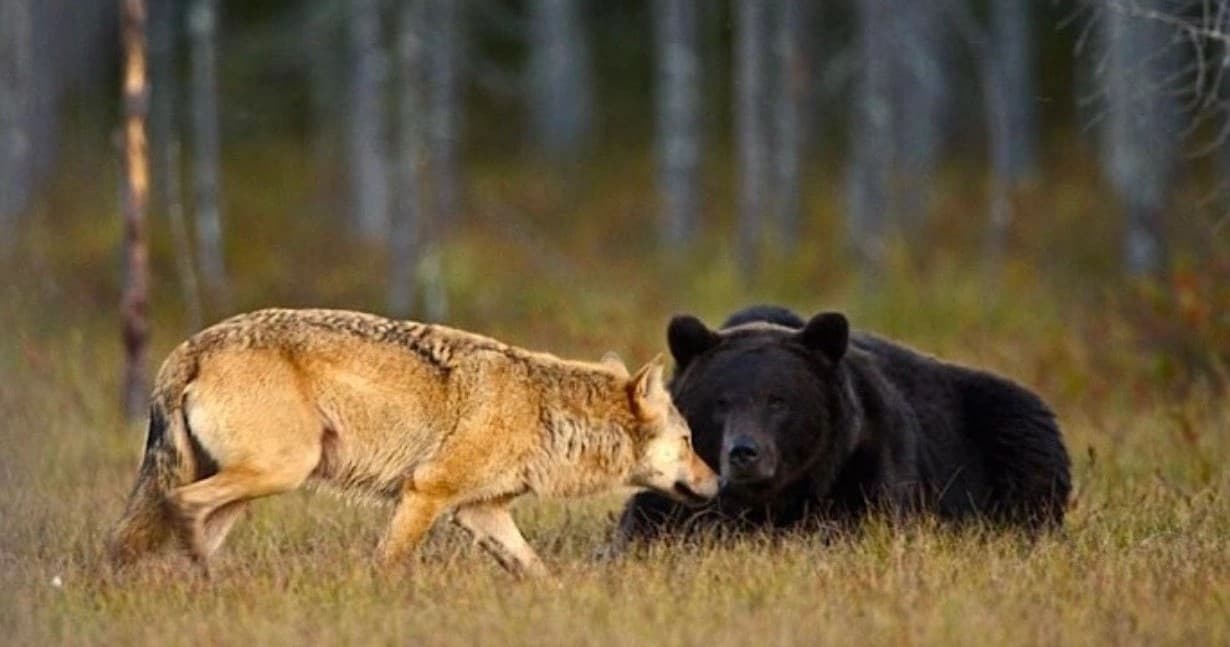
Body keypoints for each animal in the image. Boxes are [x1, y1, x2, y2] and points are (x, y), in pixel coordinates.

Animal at [108, 308, 718, 578]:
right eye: (690, 439)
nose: (719, 480)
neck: (545, 411)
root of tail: (189, 346)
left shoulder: (480, 513)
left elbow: (536, 571)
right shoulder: (426, 493)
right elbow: (390, 562)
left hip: (250, 489)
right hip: (279, 471)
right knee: (182, 506)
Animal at [614, 305, 1071, 546]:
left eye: (778, 400)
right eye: (721, 402)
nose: (744, 452)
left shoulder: (861, 469)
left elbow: (853, 527)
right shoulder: (677, 486)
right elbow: (648, 527)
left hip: (1007, 432)